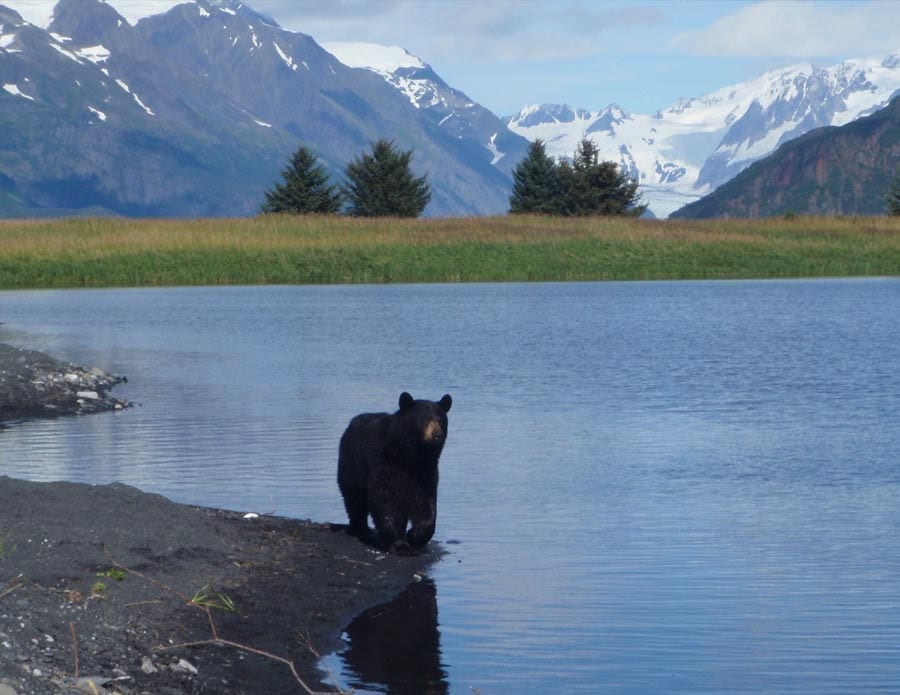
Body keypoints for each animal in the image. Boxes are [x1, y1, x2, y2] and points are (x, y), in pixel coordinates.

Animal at [338, 392, 450, 556]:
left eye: (440, 419)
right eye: (424, 420)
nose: (437, 435)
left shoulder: (426, 472)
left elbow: (427, 505)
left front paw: (414, 536)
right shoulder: (382, 465)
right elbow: (385, 502)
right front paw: (399, 544)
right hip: (351, 469)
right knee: (354, 500)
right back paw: (360, 528)